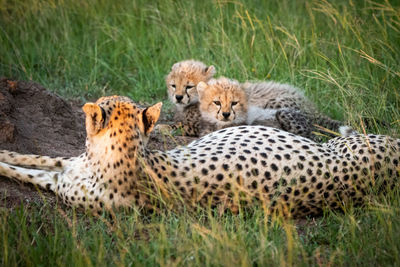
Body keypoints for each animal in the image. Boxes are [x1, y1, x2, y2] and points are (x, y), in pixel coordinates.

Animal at [0, 96, 398, 218]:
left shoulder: (62, 182)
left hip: (348, 143)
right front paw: (6, 155)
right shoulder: (64, 169)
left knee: (340, 130)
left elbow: (27, 168)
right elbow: (30, 158)